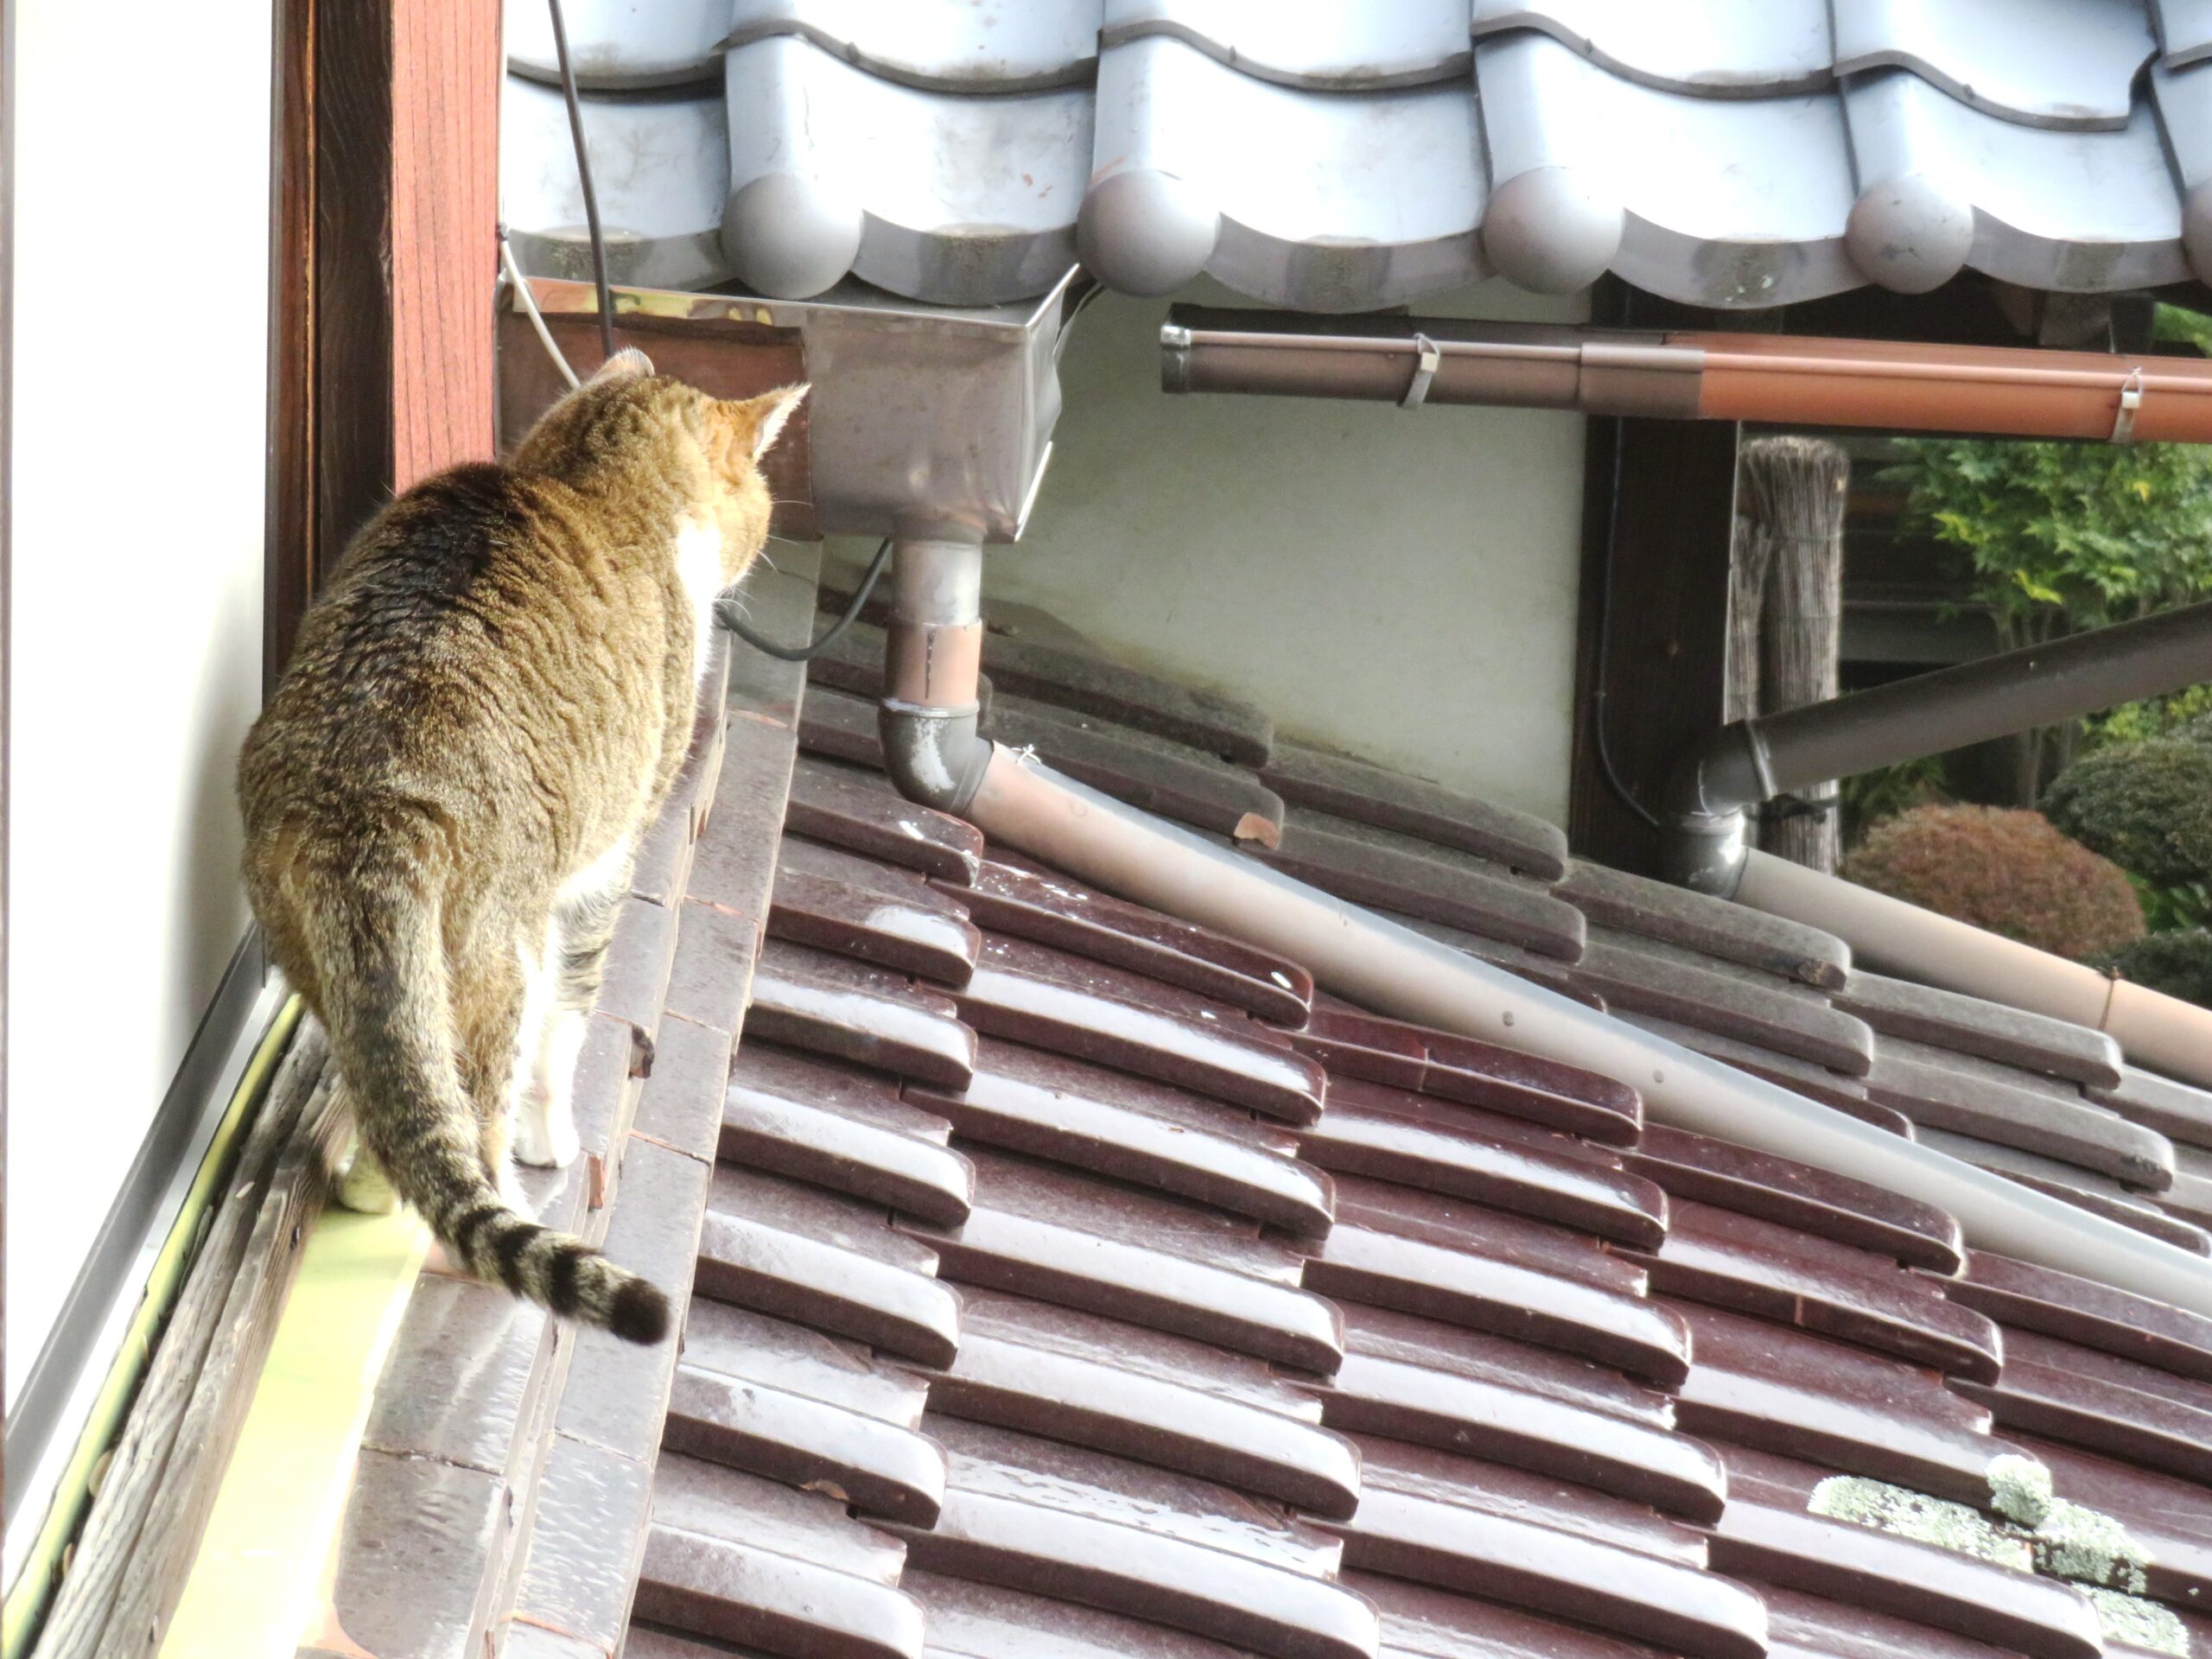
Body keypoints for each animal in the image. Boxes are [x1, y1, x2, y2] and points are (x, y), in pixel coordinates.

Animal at [246, 358, 800, 1344]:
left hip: (332, 957)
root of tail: (363, 800)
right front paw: (556, 1140)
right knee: (479, 1119)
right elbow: (571, 1026)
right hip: (503, 958)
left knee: (400, 1099)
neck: (593, 482)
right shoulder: (608, 863)